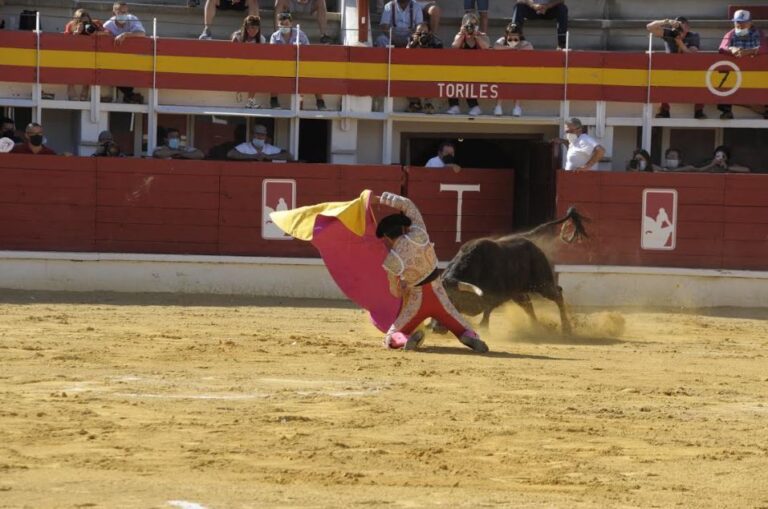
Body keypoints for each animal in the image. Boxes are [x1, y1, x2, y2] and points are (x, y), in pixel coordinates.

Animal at [438, 206, 588, 334]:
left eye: (451, 300)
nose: (436, 329)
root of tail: (529, 241)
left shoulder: (498, 296)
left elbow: (487, 310)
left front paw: (483, 329)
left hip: (542, 283)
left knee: (557, 294)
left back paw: (566, 329)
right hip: (518, 291)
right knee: (528, 304)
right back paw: (536, 328)